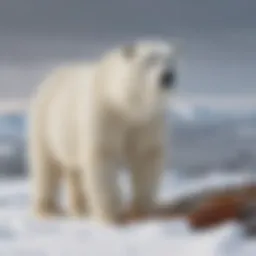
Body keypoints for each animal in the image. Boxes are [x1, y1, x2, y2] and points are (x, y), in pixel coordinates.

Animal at [28, 38, 179, 224]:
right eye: (150, 60)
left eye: (171, 62)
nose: (167, 76)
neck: (125, 105)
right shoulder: (104, 115)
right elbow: (102, 157)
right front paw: (111, 215)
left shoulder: (147, 122)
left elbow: (146, 157)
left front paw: (143, 209)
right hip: (45, 123)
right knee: (47, 167)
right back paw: (47, 210)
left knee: (74, 171)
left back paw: (79, 208)